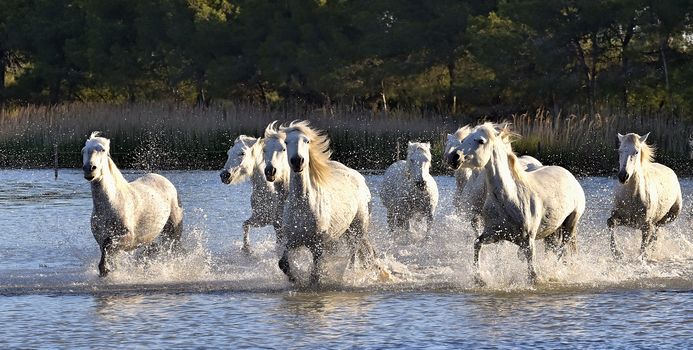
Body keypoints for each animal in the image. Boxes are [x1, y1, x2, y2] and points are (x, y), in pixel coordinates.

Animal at [83, 131, 184, 276]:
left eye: (103, 150)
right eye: (84, 150)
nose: (89, 169)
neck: (113, 203)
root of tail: (164, 180)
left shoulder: (127, 238)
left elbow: (108, 244)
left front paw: (105, 268)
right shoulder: (102, 239)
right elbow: (107, 252)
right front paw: (106, 270)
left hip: (174, 230)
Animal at [278, 120, 378, 284]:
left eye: (307, 141)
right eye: (286, 142)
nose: (297, 161)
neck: (302, 206)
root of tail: (359, 177)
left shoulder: (318, 246)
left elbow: (316, 274)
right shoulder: (292, 240)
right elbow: (283, 264)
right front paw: (294, 279)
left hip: (358, 228)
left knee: (353, 255)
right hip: (345, 231)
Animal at [448, 123, 584, 284]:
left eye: (481, 141)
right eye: (464, 139)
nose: (453, 157)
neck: (510, 198)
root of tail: (568, 174)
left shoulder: (528, 242)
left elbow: (532, 274)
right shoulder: (494, 234)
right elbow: (477, 244)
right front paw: (479, 278)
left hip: (570, 223)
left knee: (561, 249)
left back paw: (554, 271)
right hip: (552, 229)